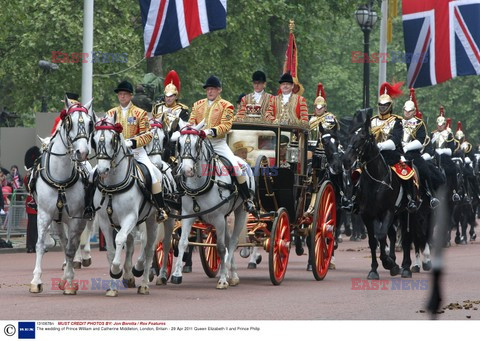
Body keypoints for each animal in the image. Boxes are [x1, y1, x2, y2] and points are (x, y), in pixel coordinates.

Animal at [30, 97, 94, 294]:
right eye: (69, 122)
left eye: (90, 123)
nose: (82, 152)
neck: (60, 180)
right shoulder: (44, 214)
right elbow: (40, 244)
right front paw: (36, 280)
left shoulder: (76, 217)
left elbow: (72, 247)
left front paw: (70, 281)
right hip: (58, 220)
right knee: (64, 241)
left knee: (77, 240)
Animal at [92, 115, 161, 294]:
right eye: (94, 140)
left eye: (113, 140)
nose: (102, 170)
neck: (113, 187)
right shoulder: (104, 221)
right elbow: (111, 250)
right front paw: (112, 286)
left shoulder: (130, 217)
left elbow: (120, 240)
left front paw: (116, 269)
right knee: (131, 244)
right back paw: (130, 275)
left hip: (152, 220)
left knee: (149, 247)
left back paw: (143, 283)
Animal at [172, 121, 255, 288]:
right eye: (179, 143)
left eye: (197, 143)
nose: (186, 170)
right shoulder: (187, 216)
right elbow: (183, 243)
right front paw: (176, 275)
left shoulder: (218, 218)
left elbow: (221, 248)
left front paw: (222, 279)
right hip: (225, 217)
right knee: (229, 241)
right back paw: (232, 273)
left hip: (240, 212)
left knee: (233, 242)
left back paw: (230, 272)